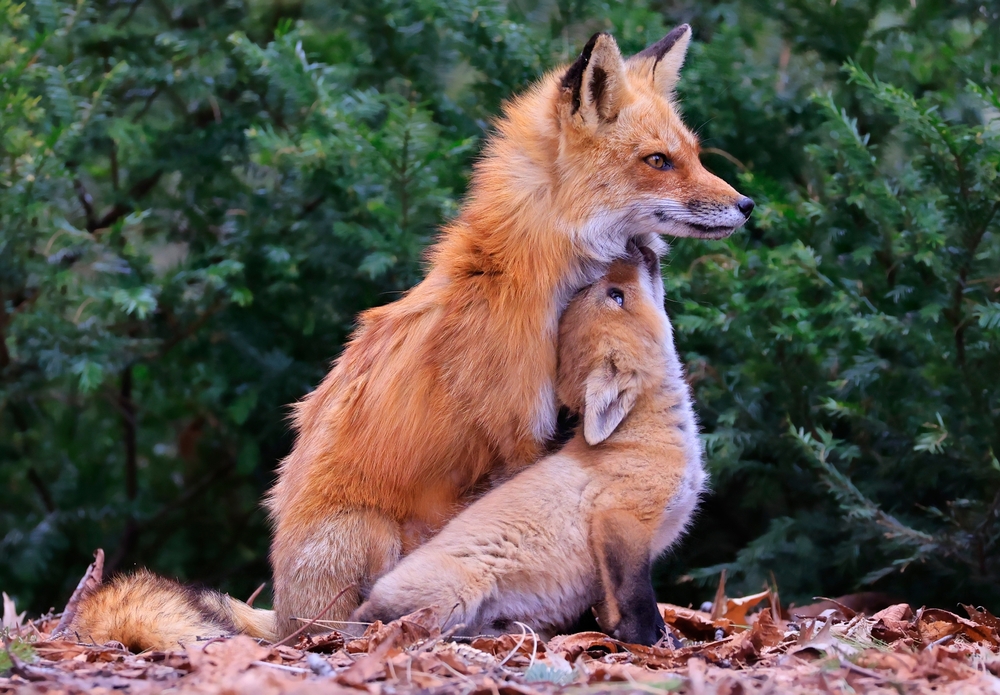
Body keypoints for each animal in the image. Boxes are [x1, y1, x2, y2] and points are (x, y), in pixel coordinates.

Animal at [352, 247, 705, 646]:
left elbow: (613, 608)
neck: (641, 437)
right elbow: (637, 603)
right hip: (456, 591)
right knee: (374, 620)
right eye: (616, 296)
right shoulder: (620, 519)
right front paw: (656, 644)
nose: (636, 248)